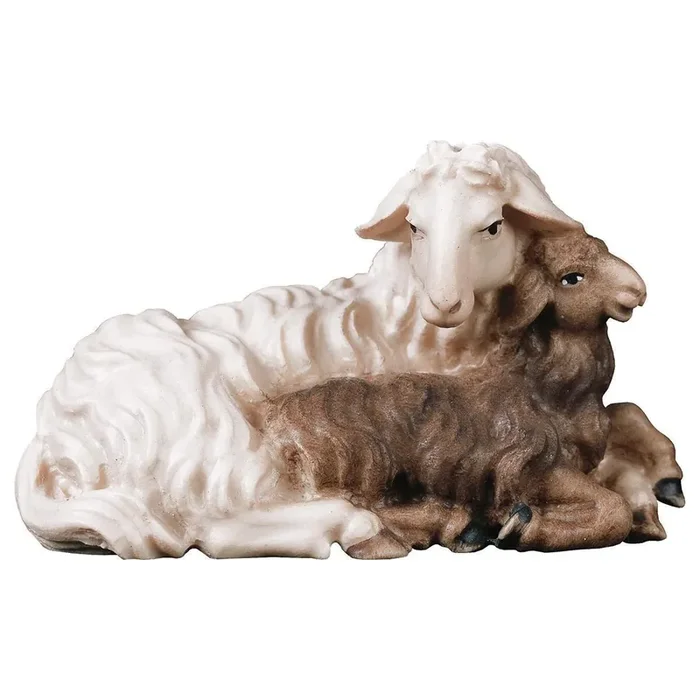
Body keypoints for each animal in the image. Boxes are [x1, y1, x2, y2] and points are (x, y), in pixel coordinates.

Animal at [258, 232, 649, 556]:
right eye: (572, 277)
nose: (638, 291)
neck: (548, 393)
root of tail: (278, 413)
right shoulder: (534, 468)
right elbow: (615, 510)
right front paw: (522, 528)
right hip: (364, 465)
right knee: (357, 509)